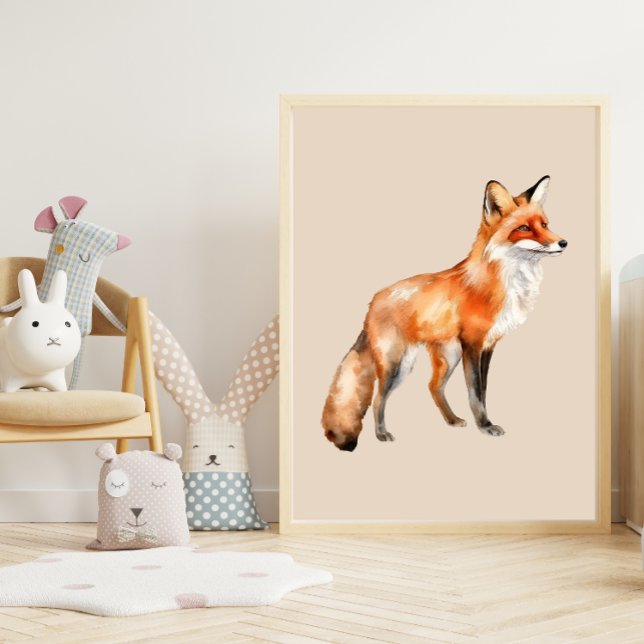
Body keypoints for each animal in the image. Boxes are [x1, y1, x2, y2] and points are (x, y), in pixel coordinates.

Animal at [321, 175, 567, 451]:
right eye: (524, 228)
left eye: (545, 224)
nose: (563, 242)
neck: (506, 282)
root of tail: (373, 301)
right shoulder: (473, 345)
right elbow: (476, 393)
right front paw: (485, 426)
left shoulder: (488, 346)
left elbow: (483, 391)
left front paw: (483, 423)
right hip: (397, 364)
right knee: (377, 398)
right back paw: (382, 434)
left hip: (447, 356)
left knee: (433, 387)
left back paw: (451, 420)